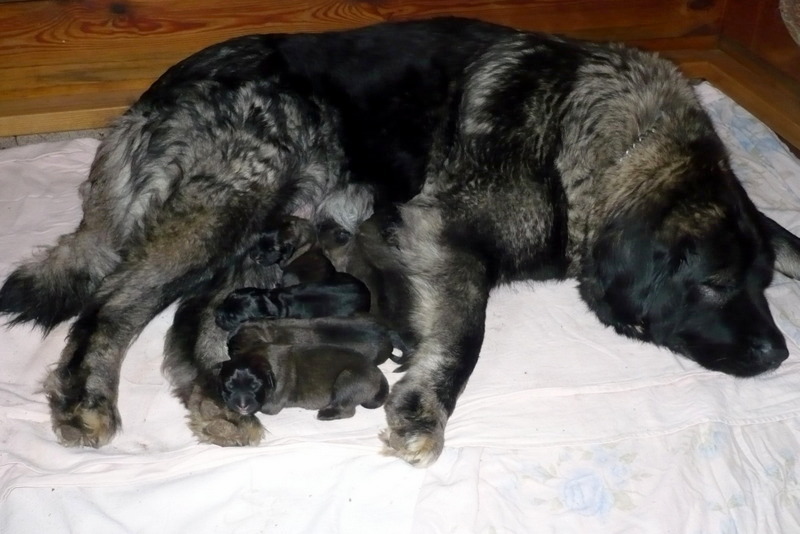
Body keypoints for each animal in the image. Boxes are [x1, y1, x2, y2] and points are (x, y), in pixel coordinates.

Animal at [2, 18, 800, 467]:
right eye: (714, 282)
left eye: (760, 281)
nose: (777, 354)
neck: (582, 140)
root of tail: (142, 105)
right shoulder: (446, 232)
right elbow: (467, 334)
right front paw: (425, 406)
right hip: (238, 197)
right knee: (113, 306)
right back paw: (87, 398)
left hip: (252, 226)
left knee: (190, 322)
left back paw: (220, 401)